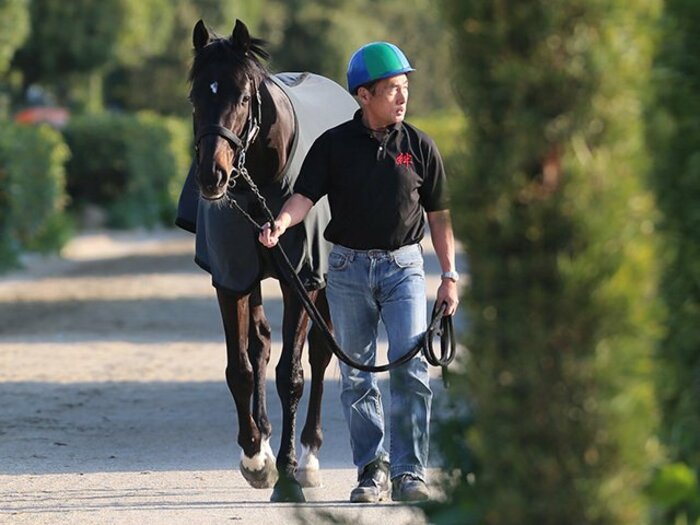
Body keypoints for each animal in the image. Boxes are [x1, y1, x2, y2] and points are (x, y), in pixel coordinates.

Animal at [177, 19, 357, 502]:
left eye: (242, 97)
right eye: (195, 95)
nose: (212, 176)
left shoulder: (302, 278)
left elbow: (291, 376)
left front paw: (290, 471)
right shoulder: (231, 276)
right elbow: (240, 367)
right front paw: (256, 457)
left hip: (323, 282)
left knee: (320, 353)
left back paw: (310, 457)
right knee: (259, 344)